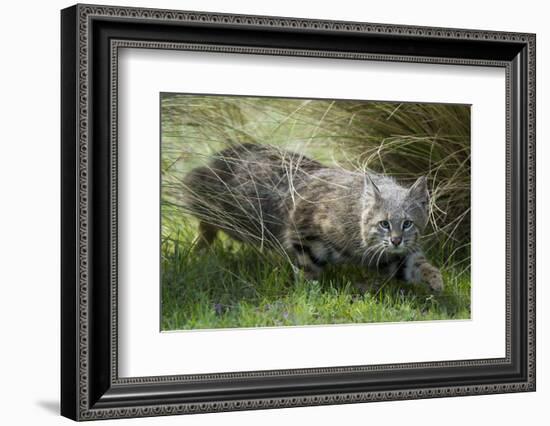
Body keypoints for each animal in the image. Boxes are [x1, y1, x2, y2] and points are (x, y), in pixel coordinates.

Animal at [183, 145, 446, 292]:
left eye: (408, 223)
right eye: (384, 223)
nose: (396, 240)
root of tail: (225, 152)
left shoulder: (389, 256)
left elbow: (417, 264)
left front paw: (435, 280)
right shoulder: (301, 231)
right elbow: (309, 269)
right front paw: (309, 295)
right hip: (226, 210)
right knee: (202, 211)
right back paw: (199, 247)